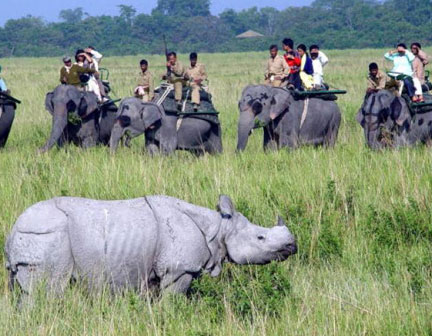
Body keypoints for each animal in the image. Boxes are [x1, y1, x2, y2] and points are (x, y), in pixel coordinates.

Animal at [5, 196, 296, 296]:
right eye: (260, 238)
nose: (292, 246)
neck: (218, 228)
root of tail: (12, 230)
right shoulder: (179, 270)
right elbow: (172, 301)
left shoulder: (155, 272)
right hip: (46, 235)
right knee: (48, 292)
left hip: (34, 237)